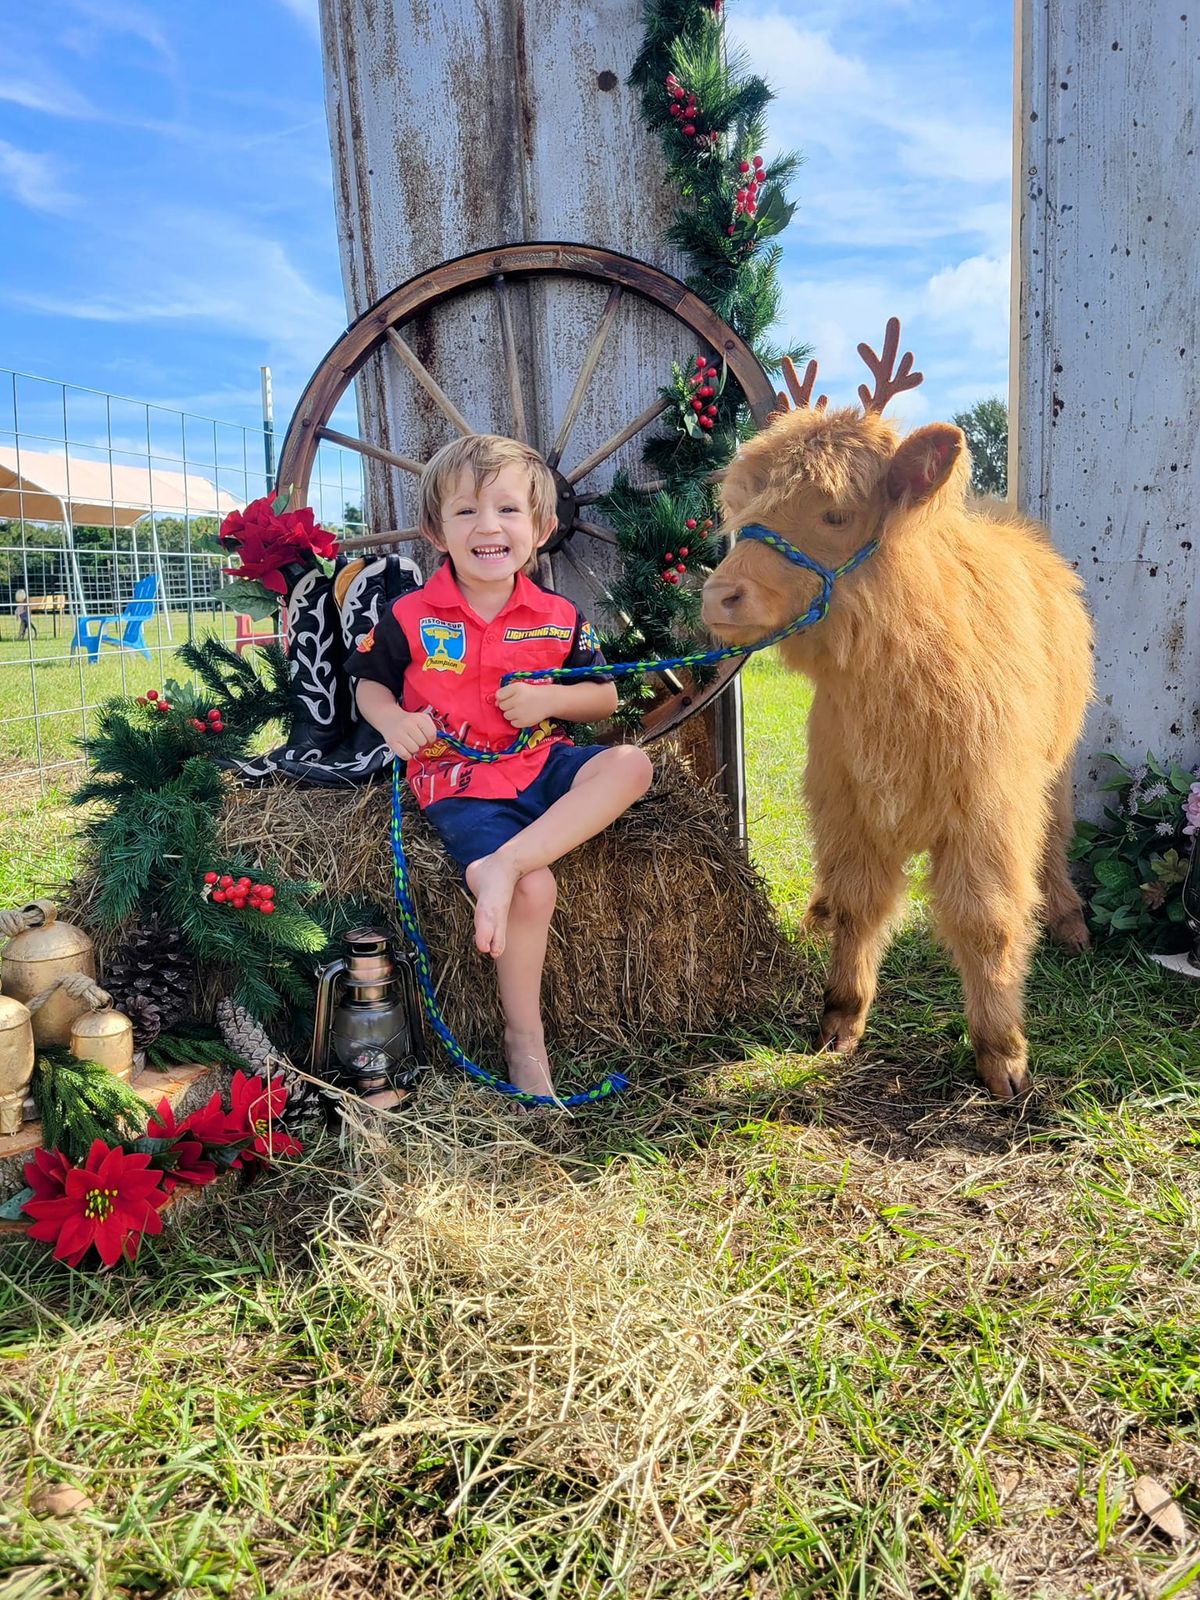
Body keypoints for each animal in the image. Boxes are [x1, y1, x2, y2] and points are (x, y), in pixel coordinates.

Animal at [700, 328, 1094, 1100]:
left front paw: (1003, 1055)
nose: (717, 597)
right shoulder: (844, 801)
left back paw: (1068, 918)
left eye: (834, 513)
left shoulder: (988, 810)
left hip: (1057, 760)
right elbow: (859, 905)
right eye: (744, 510)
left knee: (1058, 832)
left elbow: (986, 922)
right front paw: (839, 1022)